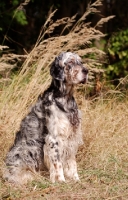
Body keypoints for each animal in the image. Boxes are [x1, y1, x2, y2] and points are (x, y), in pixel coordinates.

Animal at [3, 51, 88, 184]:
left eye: (81, 62)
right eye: (70, 62)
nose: (86, 71)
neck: (65, 99)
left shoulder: (72, 137)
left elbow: (72, 162)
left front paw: (75, 178)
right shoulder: (54, 138)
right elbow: (58, 163)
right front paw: (60, 180)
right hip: (27, 149)